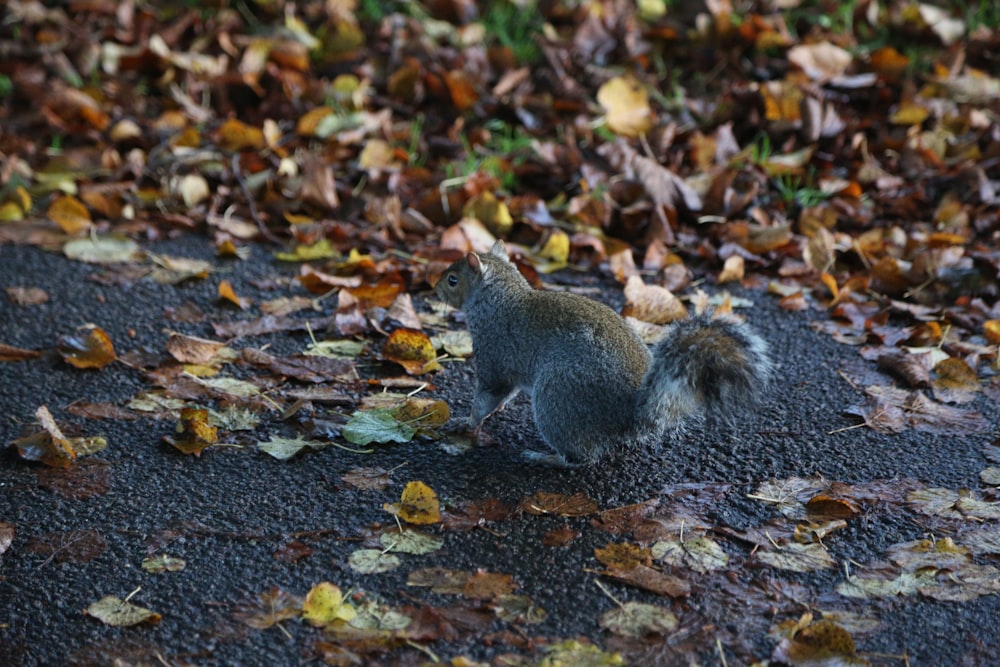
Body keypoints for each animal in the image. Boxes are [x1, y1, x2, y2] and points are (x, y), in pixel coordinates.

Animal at [432, 243, 772, 468]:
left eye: (453, 279)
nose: (434, 290)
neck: (499, 298)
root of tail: (628, 413)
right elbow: (505, 394)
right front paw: (495, 412)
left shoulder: (494, 355)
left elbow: (487, 396)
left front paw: (467, 422)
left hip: (559, 395)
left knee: (581, 458)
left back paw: (545, 457)